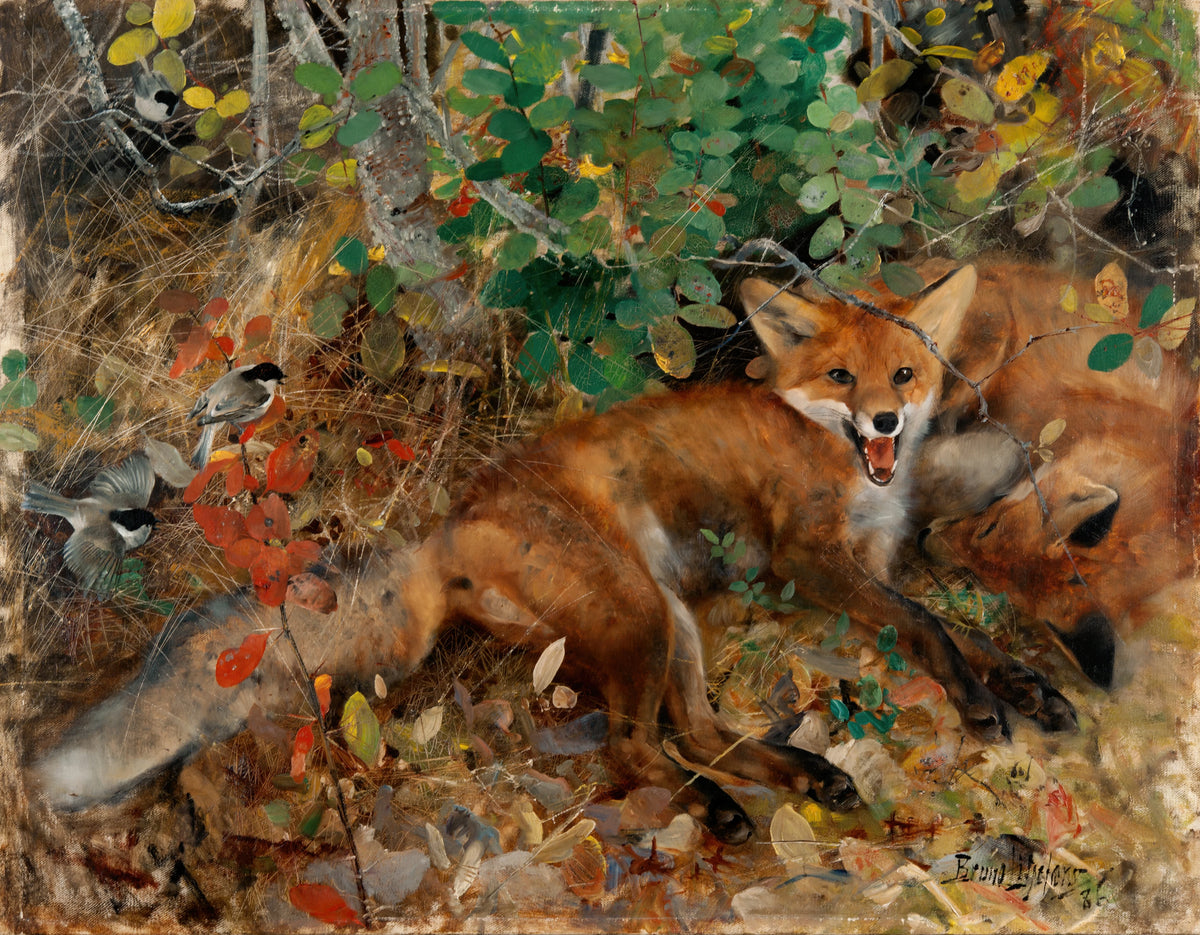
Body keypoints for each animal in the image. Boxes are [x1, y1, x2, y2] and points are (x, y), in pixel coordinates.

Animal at [28, 266, 1075, 844]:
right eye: (843, 377)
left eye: (904, 373)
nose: (889, 421)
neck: (843, 462)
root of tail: (448, 524)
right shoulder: (813, 559)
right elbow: (933, 625)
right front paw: (983, 704)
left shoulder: (874, 563)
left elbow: (966, 631)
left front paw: (1030, 686)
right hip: (642, 615)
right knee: (636, 745)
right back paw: (722, 811)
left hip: (670, 618)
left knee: (697, 731)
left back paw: (799, 777)